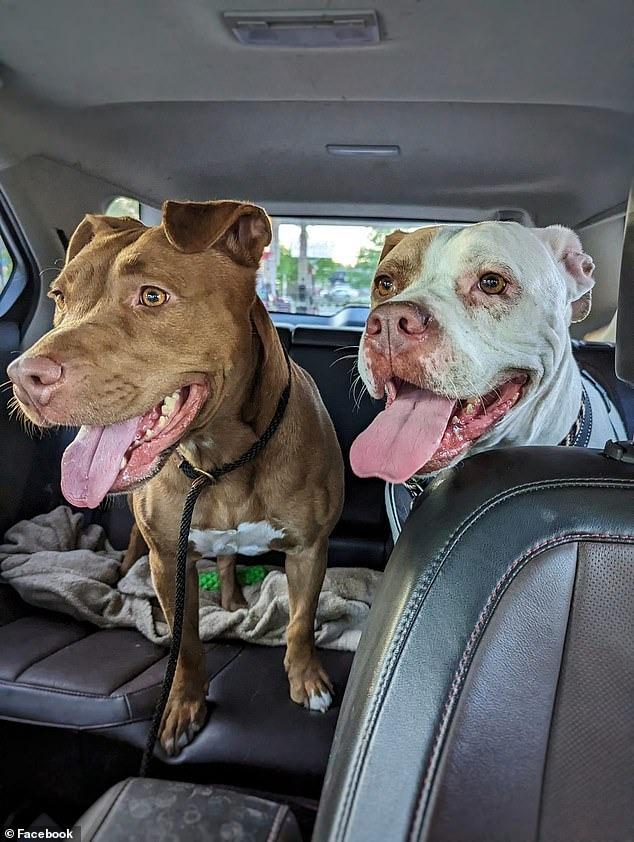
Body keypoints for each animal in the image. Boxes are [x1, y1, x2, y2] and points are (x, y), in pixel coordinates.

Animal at [7, 202, 344, 756]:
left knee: (228, 562)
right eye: (60, 298)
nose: (23, 377)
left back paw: (232, 602)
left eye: (152, 296)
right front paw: (183, 705)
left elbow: (299, 623)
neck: (220, 459)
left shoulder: (309, 548)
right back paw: (125, 582)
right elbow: (186, 643)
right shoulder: (170, 557)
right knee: (139, 555)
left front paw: (306, 680)